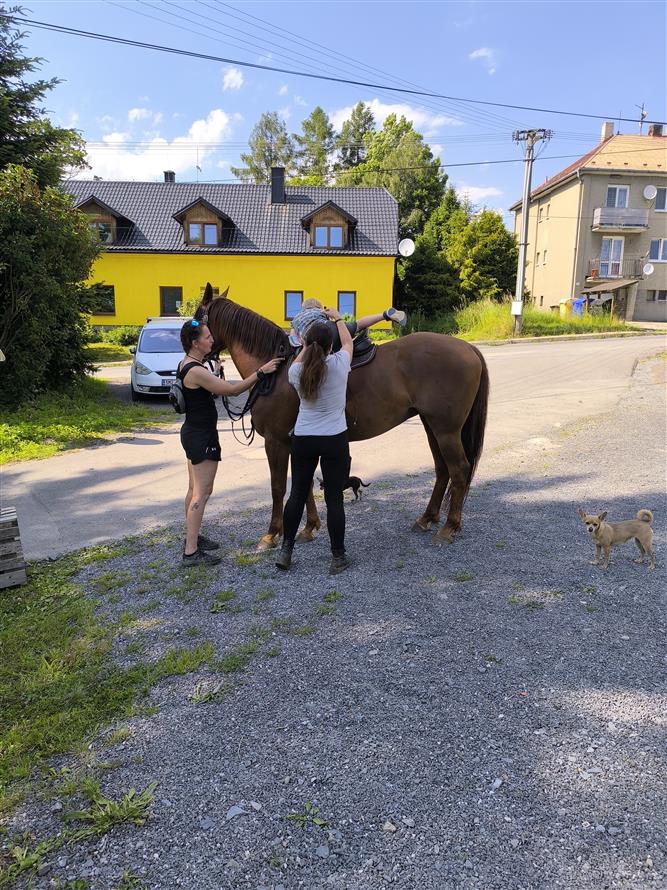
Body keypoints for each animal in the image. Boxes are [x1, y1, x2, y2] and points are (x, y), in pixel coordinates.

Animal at [199, 285, 489, 550]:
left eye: (197, 318)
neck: (276, 369)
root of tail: (468, 348)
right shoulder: (297, 442)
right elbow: (303, 485)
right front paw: (309, 527)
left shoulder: (276, 441)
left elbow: (278, 486)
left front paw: (272, 534)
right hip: (433, 427)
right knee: (442, 469)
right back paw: (427, 518)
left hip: (446, 431)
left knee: (459, 470)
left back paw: (449, 527)